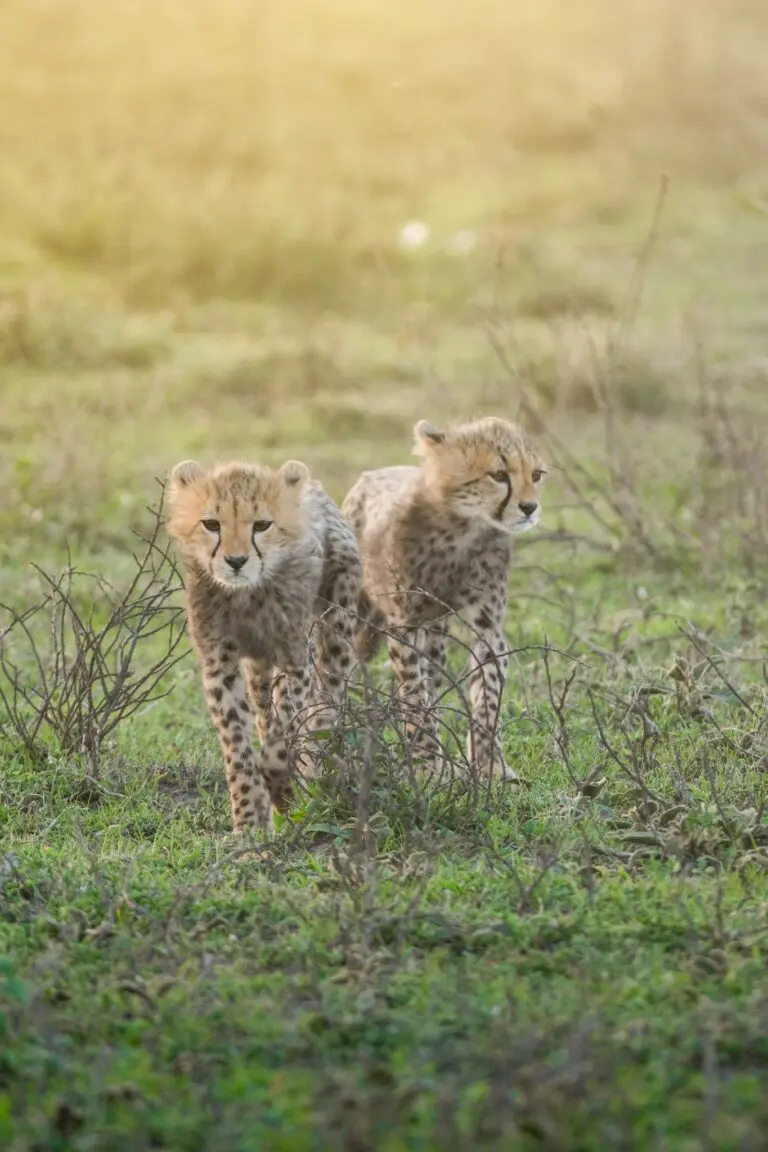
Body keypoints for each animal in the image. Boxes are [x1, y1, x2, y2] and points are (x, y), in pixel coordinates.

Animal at [167, 457, 362, 834]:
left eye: (262, 525)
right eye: (211, 524)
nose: (236, 561)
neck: (246, 595)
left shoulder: (293, 658)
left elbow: (283, 729)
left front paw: (281, 783)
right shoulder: (220, 665)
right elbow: (237, 745)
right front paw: (248, 822)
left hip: (336, 632)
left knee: (325, 706)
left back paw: (314, 773)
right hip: (258, 671)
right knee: (263, 710)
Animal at [341, 416, 547, 782]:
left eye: (536, 474)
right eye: (498, 474)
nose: (530, 507)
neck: (462, 527)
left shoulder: (488, 628)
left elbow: (488, 695)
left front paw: (490, 765)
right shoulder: (404, 626)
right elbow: (414, 700)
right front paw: (425, 768)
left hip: (436, 631)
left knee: (433, 678)